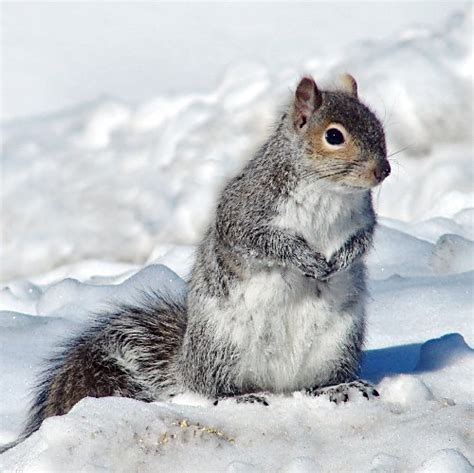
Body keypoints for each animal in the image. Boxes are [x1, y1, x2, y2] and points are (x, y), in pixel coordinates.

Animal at [1, 74, 390, 450]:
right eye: (334, 136)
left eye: (379, 125)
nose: (383, 171)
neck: (329, 191)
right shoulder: (246, 211)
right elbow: (260, 240)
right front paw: (305, 259)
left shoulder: (363, 218)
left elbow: (363, 239)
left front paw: (340, 260)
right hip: (224, 347)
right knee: (212, 390)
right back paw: (240, 398)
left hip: (337, 344)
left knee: (318, 383)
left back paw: (340, 388)